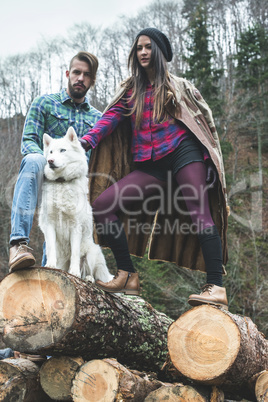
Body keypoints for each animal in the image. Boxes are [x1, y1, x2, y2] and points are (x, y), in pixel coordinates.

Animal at [38, 125, 112, 282]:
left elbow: (75, 253)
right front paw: (50, 265)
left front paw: (74, 272)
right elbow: (51, 249)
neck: (62, 182)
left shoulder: (75, 226)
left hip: (92, 252)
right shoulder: (49, 224)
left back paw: (88, 278)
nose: (50, 161)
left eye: (62, 150)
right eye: (51, 152)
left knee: (93, 274)